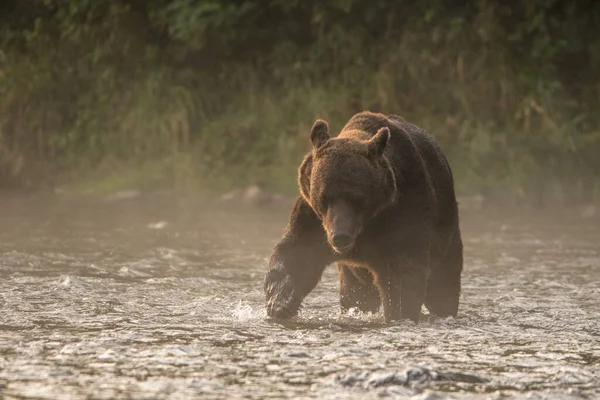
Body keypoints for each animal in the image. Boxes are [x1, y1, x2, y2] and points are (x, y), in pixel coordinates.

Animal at [264, 111, 464, 324]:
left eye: (356, 198)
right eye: (325, 197)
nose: (340, 236)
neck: (367, 224)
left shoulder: (403, 214)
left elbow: (403, 275)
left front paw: (400, 313)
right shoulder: (312, 216)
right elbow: (296, 252)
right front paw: (281, 302)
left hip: (446, 232)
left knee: (443, 284)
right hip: (353, 273)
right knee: (356, 295)